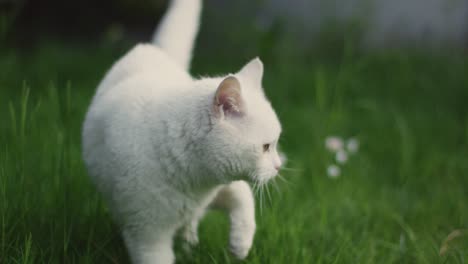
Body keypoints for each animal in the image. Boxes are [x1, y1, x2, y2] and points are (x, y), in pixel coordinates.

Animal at [81, 1, 282, 262]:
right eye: (266, 147)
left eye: (275, 144)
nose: (278, 166)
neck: (196, 179)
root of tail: (150, 49)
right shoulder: (147, 236)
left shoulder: (220, 186)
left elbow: (243, 197)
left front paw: (241, 244)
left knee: (191, 223)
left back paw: (190, 244)